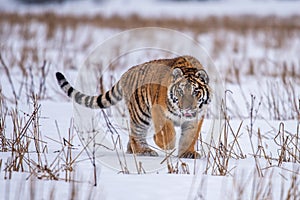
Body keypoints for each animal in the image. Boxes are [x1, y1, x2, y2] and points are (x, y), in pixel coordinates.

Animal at [55, 55, 211, 158]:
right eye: (180, 91)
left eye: (195, 92)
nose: (187, 108)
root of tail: (127, 73)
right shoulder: (158, 109)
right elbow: (167, 131)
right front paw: (167, 144)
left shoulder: (196, 118)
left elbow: (190, 136)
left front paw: (188, 153)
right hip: (140, 113)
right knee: (137, 135)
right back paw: (144, 151)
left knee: (133, 135)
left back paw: (132, 150)